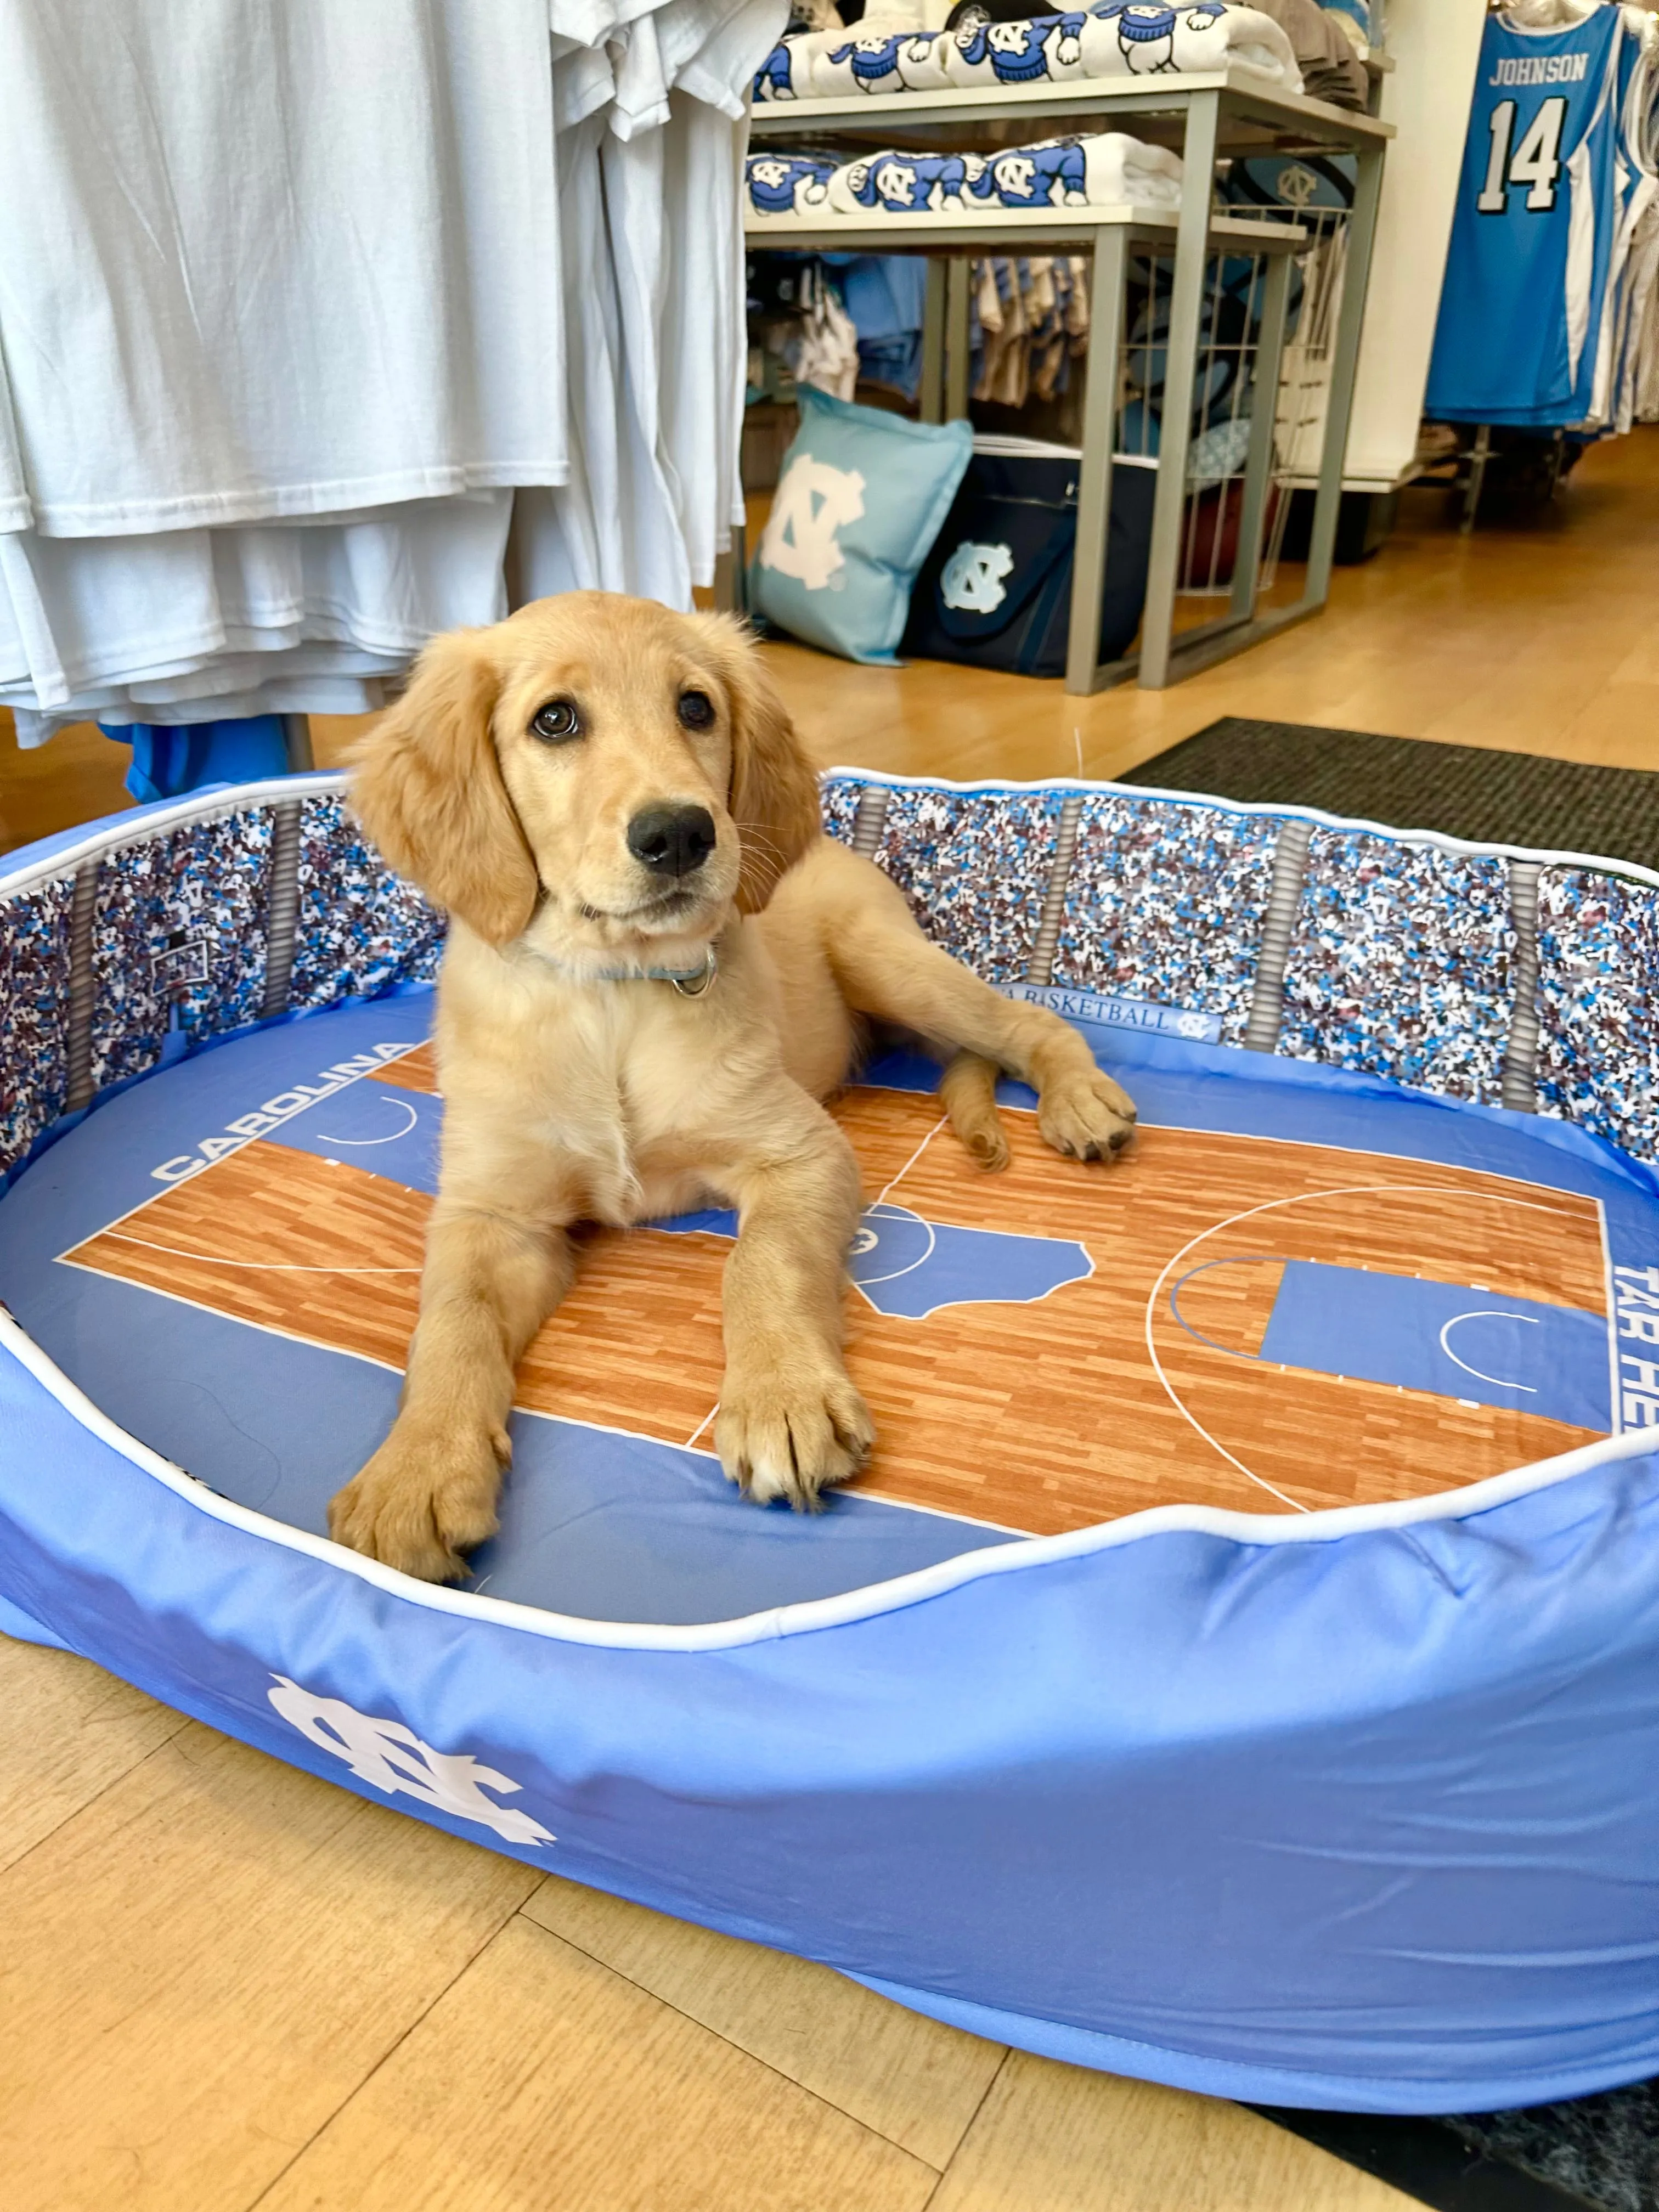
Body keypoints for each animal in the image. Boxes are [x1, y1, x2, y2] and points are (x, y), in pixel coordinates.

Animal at [327, 597, 1132, 1583]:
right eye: (553, 720)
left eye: (695, 708)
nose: (680, 833)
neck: (613, 994)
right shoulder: (491, 1213)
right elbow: (450, 1324)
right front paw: (413, 1473)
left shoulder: (802, 1152)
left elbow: (761, 1264)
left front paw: (780, 1397)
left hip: (887, 959)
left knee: (1027, 1020)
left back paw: (1080, 1101)